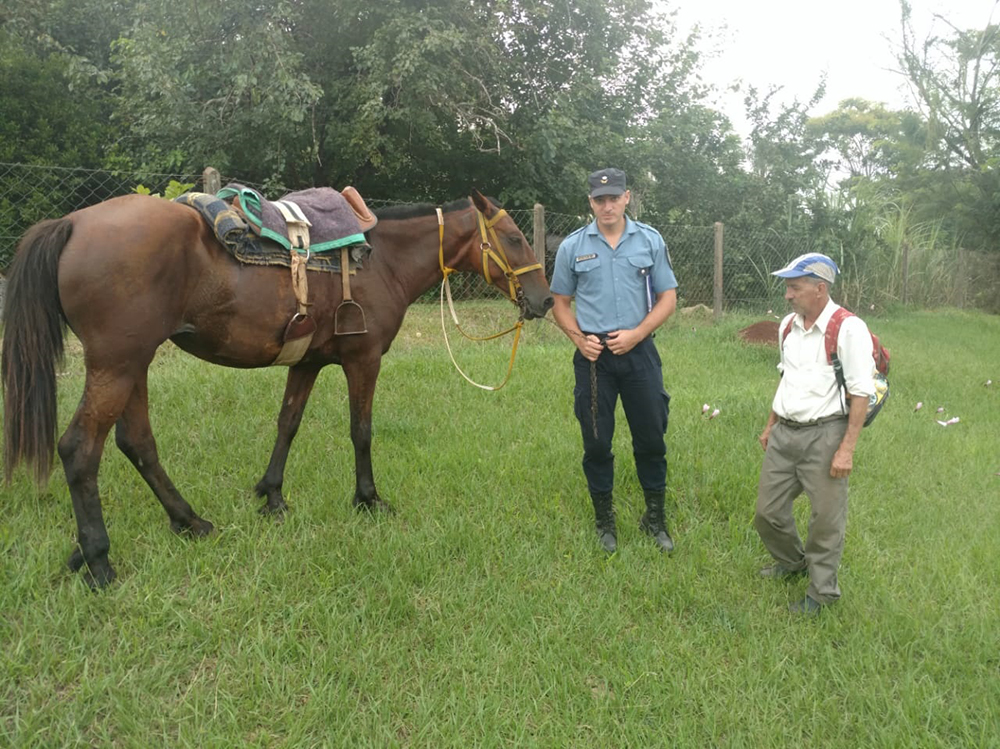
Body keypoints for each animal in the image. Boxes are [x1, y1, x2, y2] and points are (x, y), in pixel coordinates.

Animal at [2, 190, 552, 588]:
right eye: (513, 237)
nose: (546, 300)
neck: (384, 261)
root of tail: (75, 222)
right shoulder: (363, 360)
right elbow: (361, 430)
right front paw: (368, 499)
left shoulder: (306, 362)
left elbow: (288, 423)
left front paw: (272, 496)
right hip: (116, 365)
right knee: (80, 449)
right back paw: (99, 561)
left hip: (133, 364)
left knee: (136, 443)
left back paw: (189, 522)